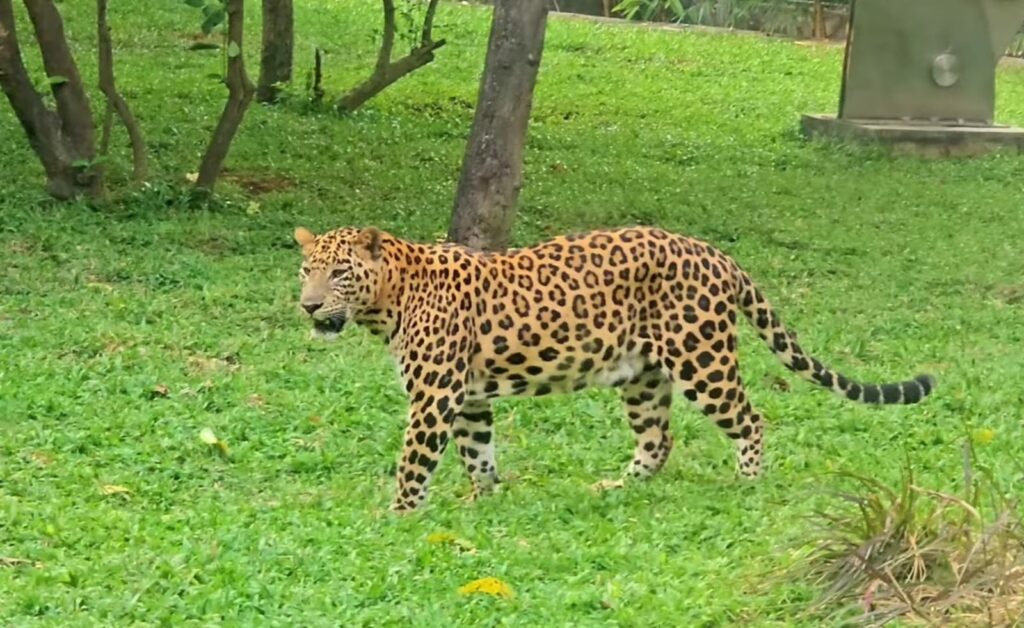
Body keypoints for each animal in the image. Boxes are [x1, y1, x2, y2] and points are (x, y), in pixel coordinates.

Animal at [290, 223, 937, 512]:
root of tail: (716, 254)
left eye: (340, 272)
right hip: (643, 377)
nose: (309, 306)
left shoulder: (435, 397)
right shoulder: (469, 397)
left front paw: (398, 516)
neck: (389, 299)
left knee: (751, 419)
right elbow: (478, 452)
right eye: (306, 270)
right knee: (660, 439)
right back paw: (618, 488)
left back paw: (748, 484)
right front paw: (484, 499)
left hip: (702, 359)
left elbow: (413, 462)